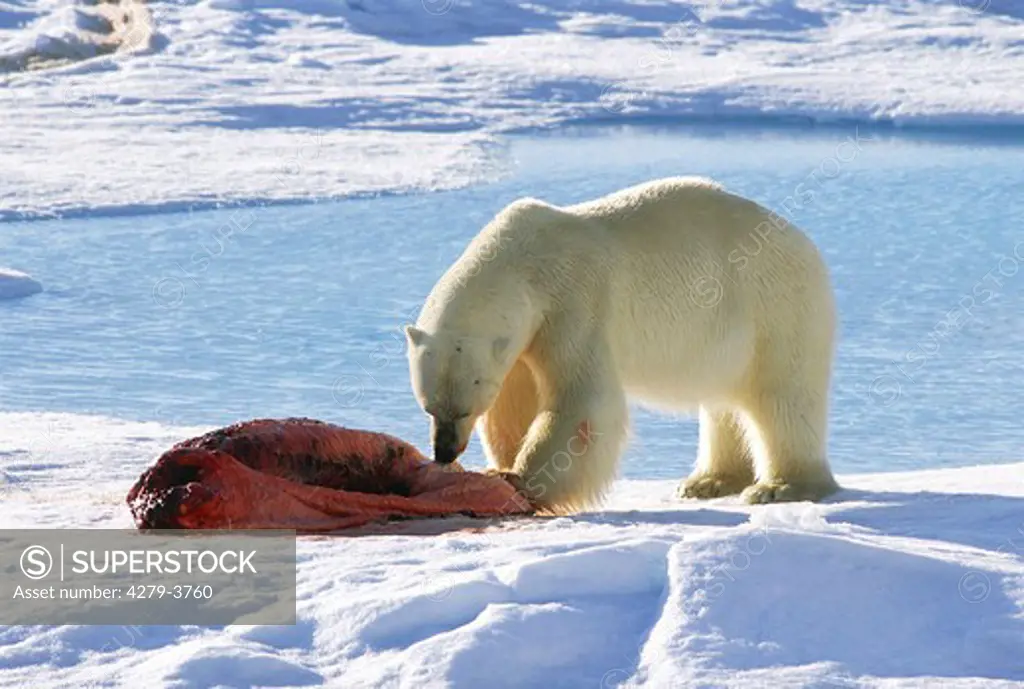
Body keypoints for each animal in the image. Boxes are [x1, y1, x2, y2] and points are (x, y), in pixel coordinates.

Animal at [403, 175, 835, 513]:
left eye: (461, 411)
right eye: (429, 407)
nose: (443, 452)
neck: (524, 264)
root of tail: (806, 243)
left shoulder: (573, 303)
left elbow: (582, 403)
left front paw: (522, 480)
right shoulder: (527, 337)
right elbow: (514, 399)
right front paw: (503, 465)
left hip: (773, 307)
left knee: (782, 397)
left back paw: (780, 486)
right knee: (723, 400)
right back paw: (708, 481)